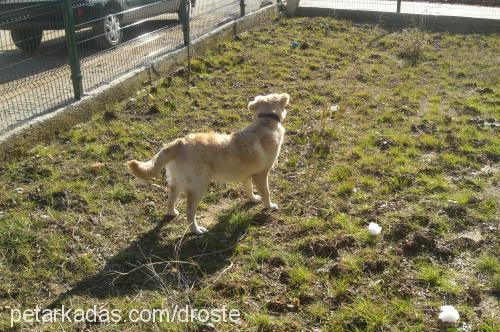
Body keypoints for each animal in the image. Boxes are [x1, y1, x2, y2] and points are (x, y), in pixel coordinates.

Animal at [127, 92, 290, 235]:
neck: (266, 120)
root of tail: (179, 143)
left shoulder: (246, 175)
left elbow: (248, 189)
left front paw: (253, 198)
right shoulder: (261, 174)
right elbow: (267, 192)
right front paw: (270, 206)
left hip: (178, 181)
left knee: (171, 197)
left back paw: (172, 213)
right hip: (198, 186)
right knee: (190, 211)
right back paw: (196, 230)